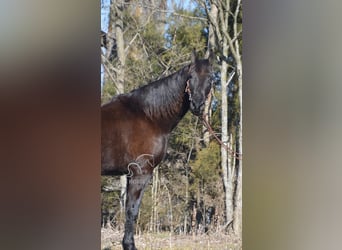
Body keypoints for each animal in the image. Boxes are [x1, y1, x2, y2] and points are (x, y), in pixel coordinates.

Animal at [101, 50, 212, 250]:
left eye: (211, 78)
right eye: (190, 77)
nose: (197, 105)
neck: (148, 115)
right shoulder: (140, 172)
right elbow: (132, 211)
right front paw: (129, 245)